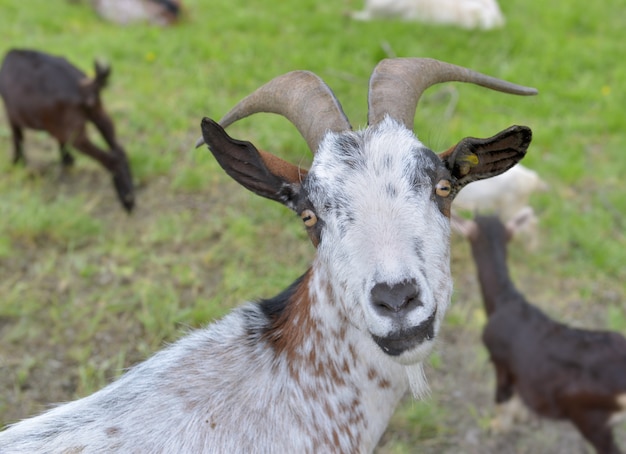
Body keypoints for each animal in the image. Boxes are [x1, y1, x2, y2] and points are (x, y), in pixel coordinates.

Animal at [0, 48, 135, 212]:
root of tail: (84, 88)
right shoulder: (57, 125)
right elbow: (61, 143)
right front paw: (67, 161)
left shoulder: (12, 113)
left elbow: (17, 137)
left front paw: (17, 163)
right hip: (100, 116)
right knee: (119, 150)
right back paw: (131, 195)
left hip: (75, 133)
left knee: (111, 159)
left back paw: (126, 201)